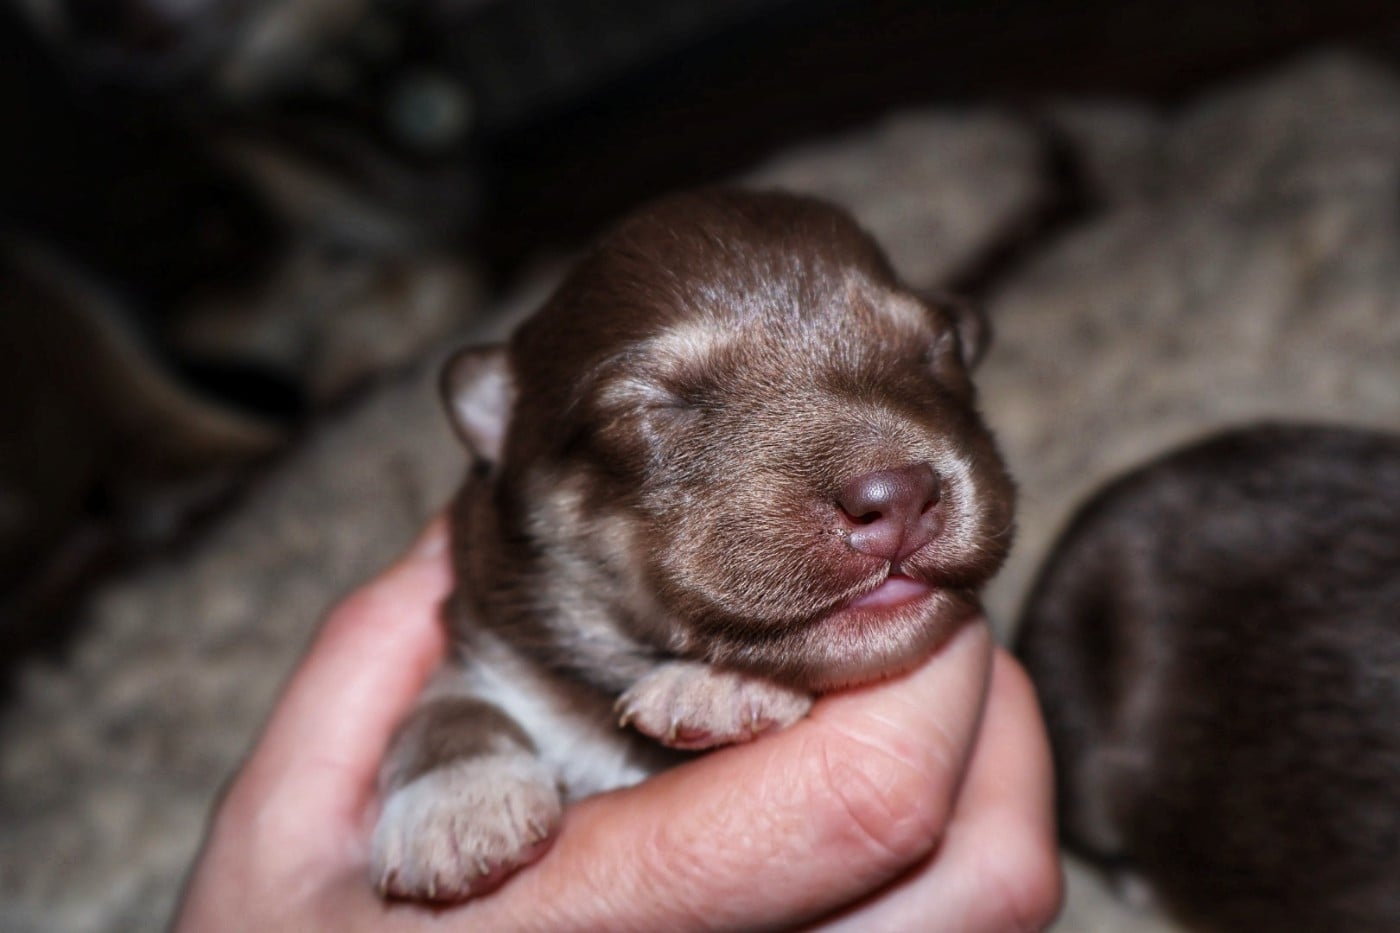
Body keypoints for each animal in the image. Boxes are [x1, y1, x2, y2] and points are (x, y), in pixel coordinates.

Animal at [371, 188, 1015, 901]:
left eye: (938, 351)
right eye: (659, 407)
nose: (897, 496)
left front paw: (716, 689)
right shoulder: (486, 640)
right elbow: (440, 707)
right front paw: (454, 800)